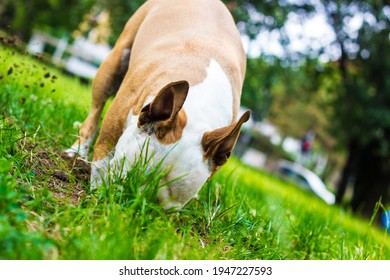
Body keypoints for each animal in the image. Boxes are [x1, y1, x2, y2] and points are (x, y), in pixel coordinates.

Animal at [66, 0, 250, 209]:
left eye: (163, 212)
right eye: (124, 179)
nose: (132, 205)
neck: (199, 108)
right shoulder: (112, 128)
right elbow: (102, 161)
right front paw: (97, 193)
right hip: (113, 65)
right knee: (95, 112)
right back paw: (77, 150)